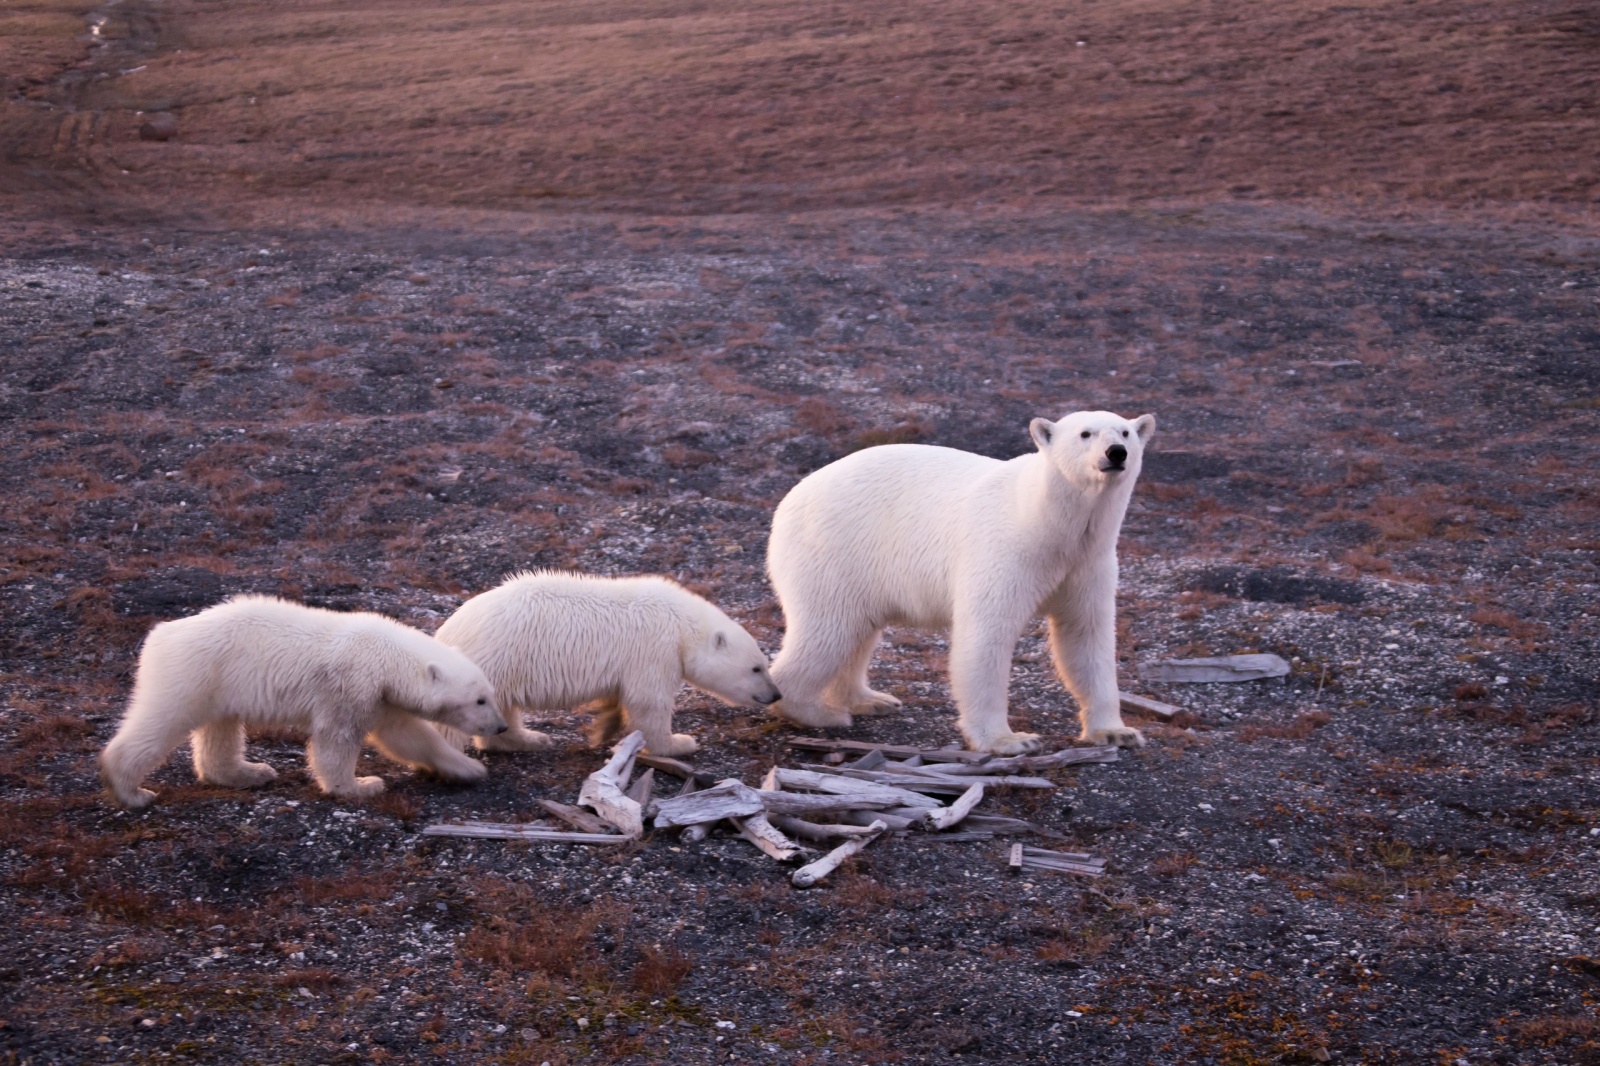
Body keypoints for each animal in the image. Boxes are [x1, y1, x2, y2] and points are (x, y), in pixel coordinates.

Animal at [98, 592, 505, 809]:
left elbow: (406, 735)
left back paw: (250, 772)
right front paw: (361, 785)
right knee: (162, 720)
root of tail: (163, 633)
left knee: (221, 730)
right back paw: (131, 790)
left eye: (490, 694)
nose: (500, 726)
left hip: (221, 685)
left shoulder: (381, 696)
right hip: (192, 675)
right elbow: (336, 739)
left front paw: (468, 768)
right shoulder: (352, 683)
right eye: (480, 700)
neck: (385, 654)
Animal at [432, 569, 780, 752]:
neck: (681, 624)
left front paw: (604, 730)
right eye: (757, 667)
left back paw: (530, 738)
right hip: (491, 659)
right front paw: (680, 743)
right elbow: (649, 702)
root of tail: (446, 631)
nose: (776, 694)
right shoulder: (654, 649)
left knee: (502, 709)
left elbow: (619, 697)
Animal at [768, 404, 1158, 745]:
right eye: (1085, 433)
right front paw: (1007, 740)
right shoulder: (1006, 552)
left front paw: (1116, 732)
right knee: (828, 630)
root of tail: (788, 501)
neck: (1047, 521)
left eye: (1125, 431)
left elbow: (1085, 635)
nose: (1116, 452)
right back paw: (819, 711)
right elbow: (986, 635)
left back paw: (869, 699)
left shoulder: (1088, 563)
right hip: (833, 551)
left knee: (856, 631)